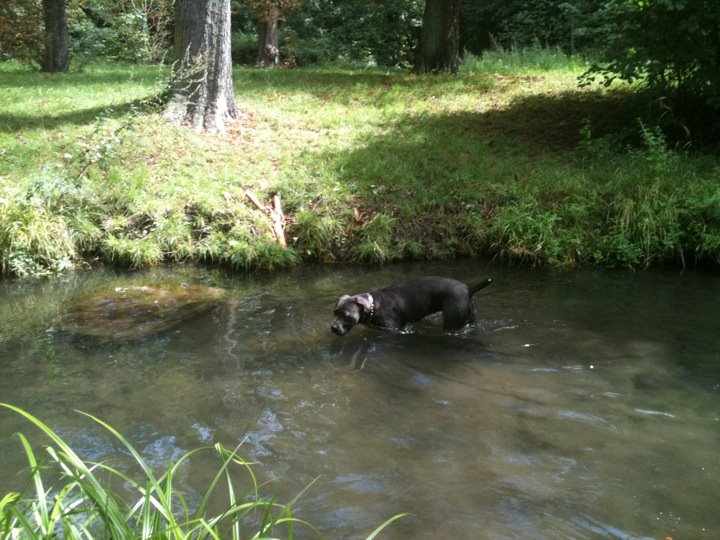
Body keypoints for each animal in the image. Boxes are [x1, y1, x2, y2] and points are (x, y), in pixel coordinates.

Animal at [330, 276, 490, 336]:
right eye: (335, 312)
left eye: (346, 315)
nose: (332, 327)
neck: (374, 305)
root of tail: (469, 288)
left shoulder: (392, 330)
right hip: (470, 316)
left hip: (452, 321)